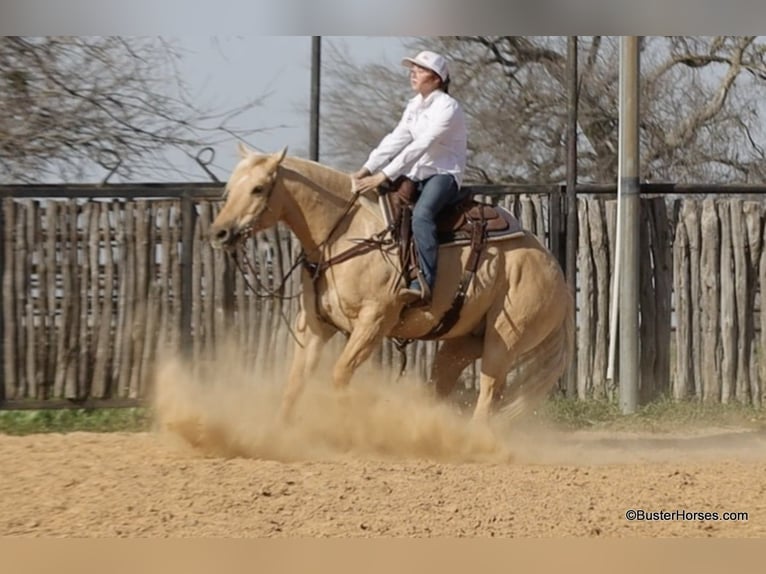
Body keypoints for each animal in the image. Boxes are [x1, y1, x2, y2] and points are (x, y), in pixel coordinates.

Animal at [210, 144, 574, 423]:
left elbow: (340, 374)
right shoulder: (315, 324)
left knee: (488, 393)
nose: (220, 233)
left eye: (258, 188)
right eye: (230, 189)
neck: (344, 233)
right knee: (442, 385)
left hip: (504, 340)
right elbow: (295, 383)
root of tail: (556, 274)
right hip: (463, 341)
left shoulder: (374, 321)